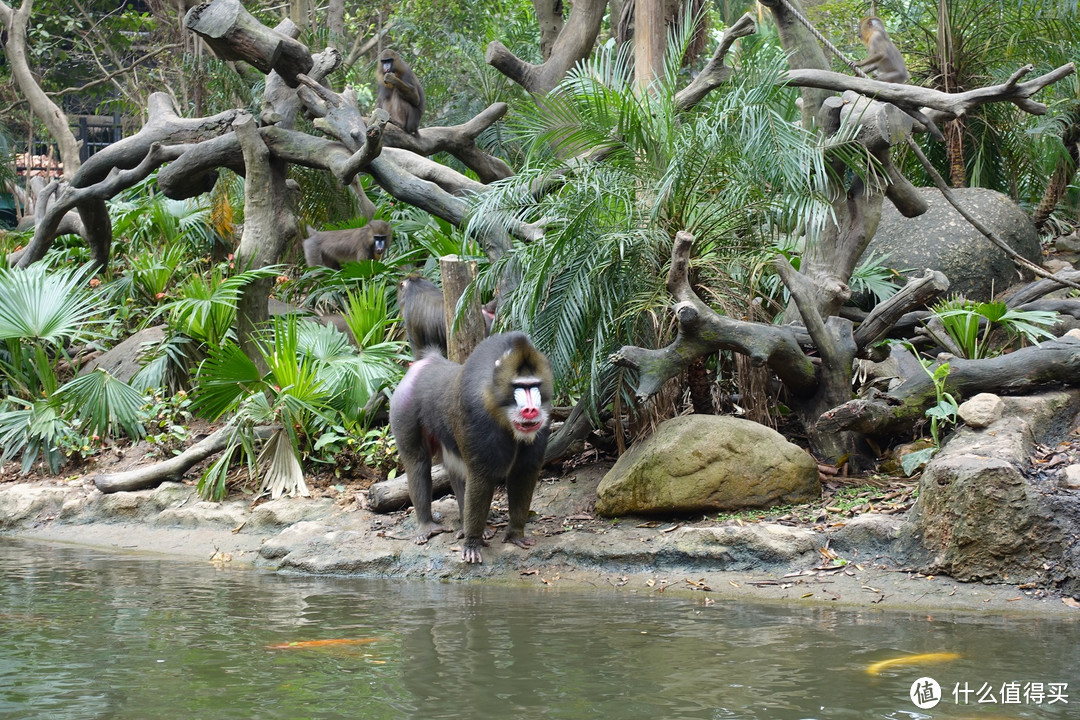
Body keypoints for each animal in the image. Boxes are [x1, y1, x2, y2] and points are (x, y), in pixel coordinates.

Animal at [388, 330, 552, 561]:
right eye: (519, 386)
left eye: (534, 385)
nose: (531, 410)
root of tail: (427, 361)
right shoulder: (477, 421)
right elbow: (480, 477)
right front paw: (472, 544)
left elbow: (523, 472)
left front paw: (515, 535)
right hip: (404, 411)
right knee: (417, 464)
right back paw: (428, 527)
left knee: (457, 472)